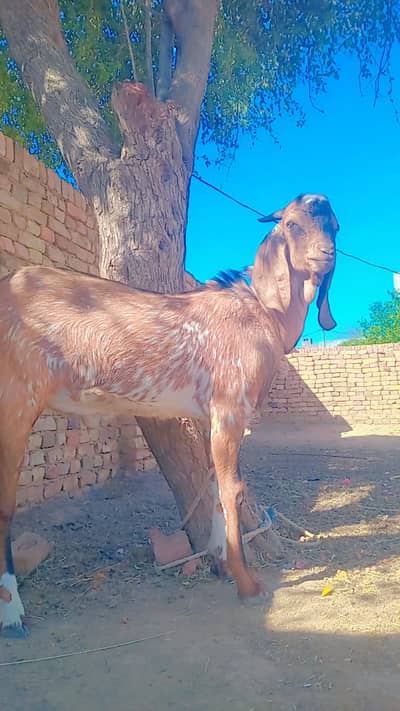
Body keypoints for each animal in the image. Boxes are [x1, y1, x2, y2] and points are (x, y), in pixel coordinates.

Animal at [0, 193, 339, 638]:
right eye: (293, 225)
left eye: (335, 227)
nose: (326, 254)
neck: (263, 313)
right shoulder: (230, 408)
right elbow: (232, 489)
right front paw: (247, 584)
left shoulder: (209, 414)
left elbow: (213, 485)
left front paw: (219, 563)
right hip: (15, 398)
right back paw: (12, 613)